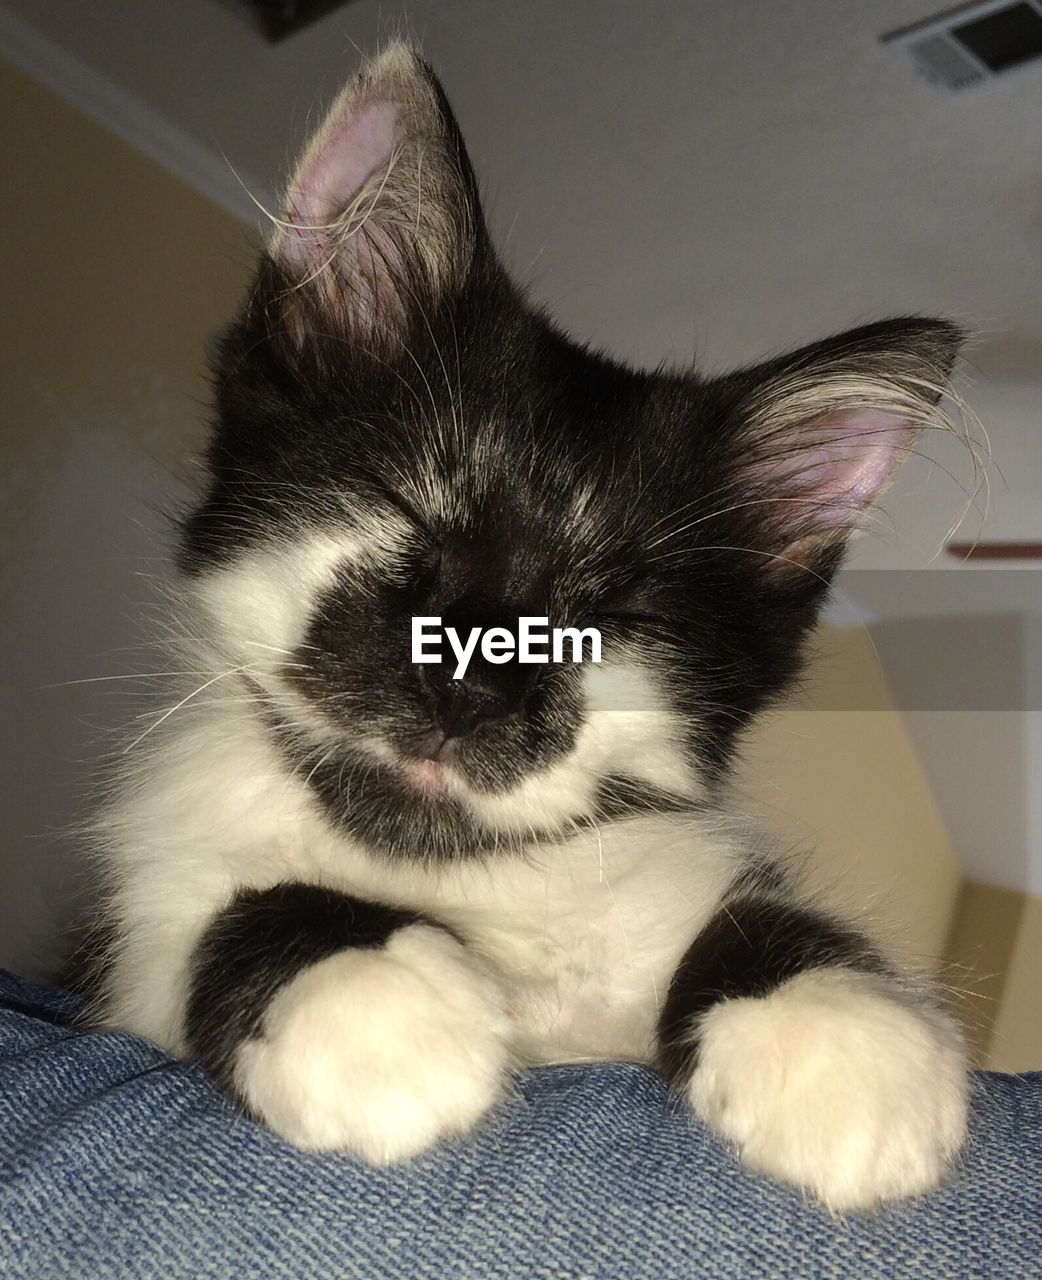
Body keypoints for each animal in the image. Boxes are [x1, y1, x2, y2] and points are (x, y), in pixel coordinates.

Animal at [89, 47, 972, 1208]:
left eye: (616, 612)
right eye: (406, 511)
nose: (469, 685)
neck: (453, 874)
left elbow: (748, 914)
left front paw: (838, 1032)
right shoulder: (139, 937)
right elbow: (217, 915)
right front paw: (368, 994)